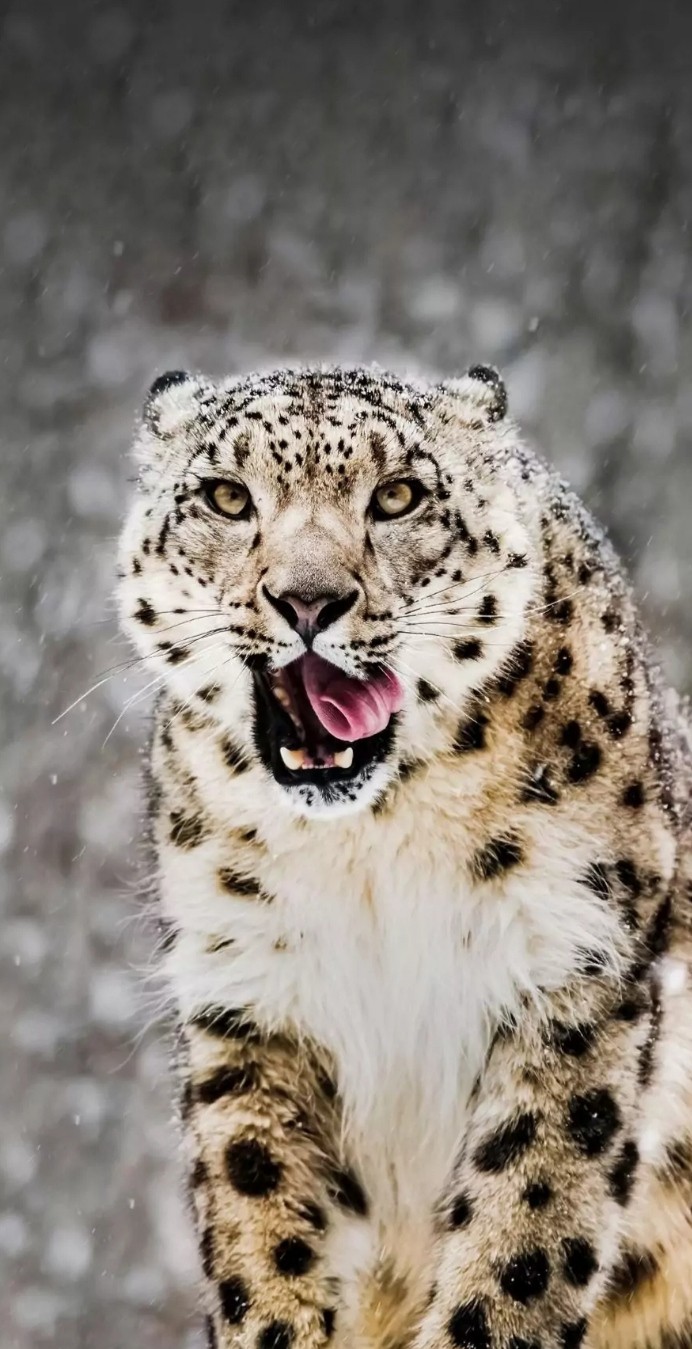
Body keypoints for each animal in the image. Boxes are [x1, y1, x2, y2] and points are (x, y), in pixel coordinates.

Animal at [118, 362, 692, 1349]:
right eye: (227, 495)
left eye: (398, 496)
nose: (309, 600)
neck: (372, 850)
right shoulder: (251, 1001)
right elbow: (264, 1225)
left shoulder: (575, 971)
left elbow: (524, 1228)